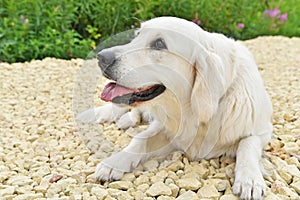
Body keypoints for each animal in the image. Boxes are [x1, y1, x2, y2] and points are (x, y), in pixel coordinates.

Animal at [76, 16, 274, 199]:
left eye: (159, 44)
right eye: (137, 35)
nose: (101, 57)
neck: (193, 112)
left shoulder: (263, 130)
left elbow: (247, 144)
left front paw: (249, 179)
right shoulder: (166, 128)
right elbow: (140, 140)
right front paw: (115, 162)